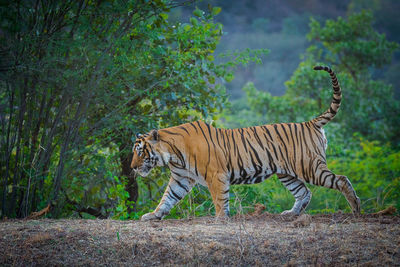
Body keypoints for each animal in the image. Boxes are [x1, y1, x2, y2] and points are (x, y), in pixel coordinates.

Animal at [132, 66, 362, 221]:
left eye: (141, 152)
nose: (133, 168)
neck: (173, 155)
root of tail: (310, 122)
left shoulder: (216, 175)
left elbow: (219, 199)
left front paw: (221, 219)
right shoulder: (181, 178)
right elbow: (167, 198)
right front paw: (153, 215)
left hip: (309, 166)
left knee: (341, 180)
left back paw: (356, 209)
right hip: (287, 172)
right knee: (304, 192)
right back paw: (291, 213)